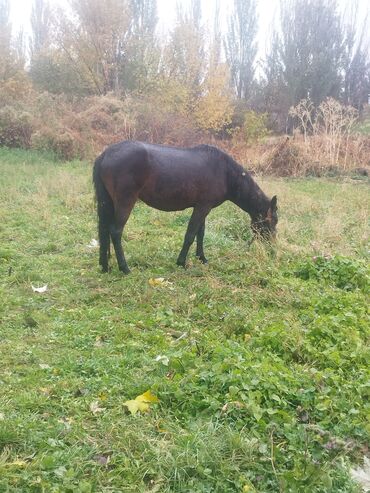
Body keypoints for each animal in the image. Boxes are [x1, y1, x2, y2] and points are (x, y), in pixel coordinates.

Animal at [92, 140, 278, 272]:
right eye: (272, 221)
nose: (272, 249)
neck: (225, 173)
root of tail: (105, 154)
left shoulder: (202, 207)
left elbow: (200, 234)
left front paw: (202, 258)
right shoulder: (202, 208)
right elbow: (190, 234)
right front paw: (181, 262)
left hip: (108, 203)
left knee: (104, 230)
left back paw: (104, 266)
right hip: (125, 202)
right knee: (115, 232)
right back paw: (124, 268)